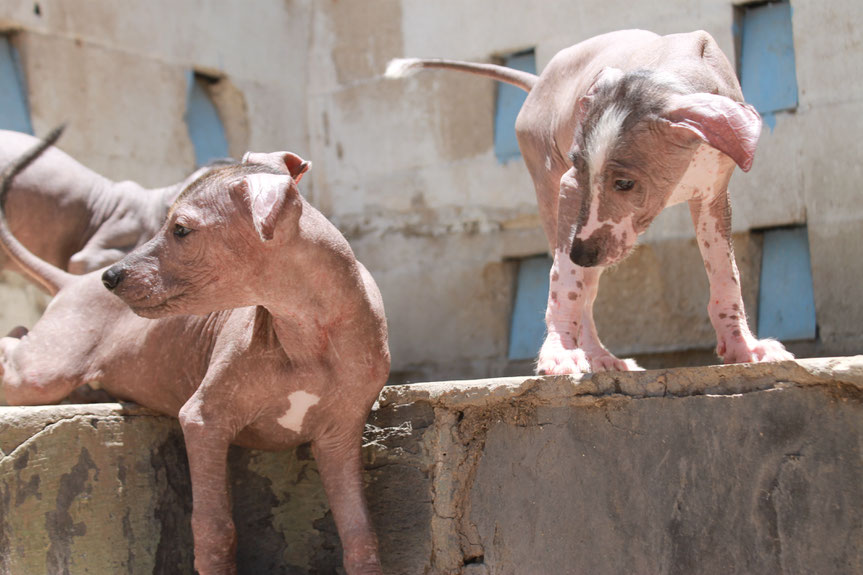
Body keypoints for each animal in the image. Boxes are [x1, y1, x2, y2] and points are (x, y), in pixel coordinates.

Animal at [388, 29, 792, 376]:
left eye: (625, 183)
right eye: (581, 168)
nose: (582, 253)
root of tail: (539, 83)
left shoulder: (713, 197)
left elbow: (726, 275)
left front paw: (743, 347)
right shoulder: (570, 188)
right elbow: (565, 283)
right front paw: (561, 353)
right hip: (553, 197)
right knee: (578, 285)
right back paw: (595, 355)